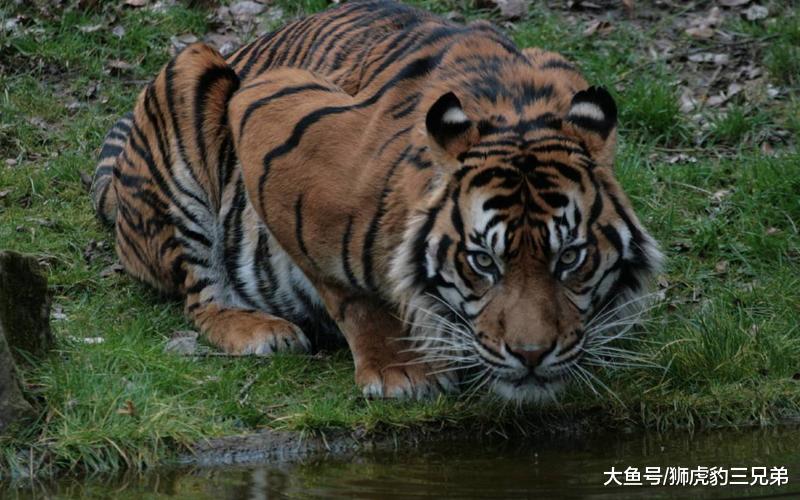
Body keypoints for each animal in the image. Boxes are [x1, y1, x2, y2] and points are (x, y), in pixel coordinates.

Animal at [90, 0, 663, 401]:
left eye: (571, 257)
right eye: (483, 262)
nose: (531, 356)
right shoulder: (271, 122)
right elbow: (350, 292)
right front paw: (400, 372)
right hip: (190, 74)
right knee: (200, 295)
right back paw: (258, 330)